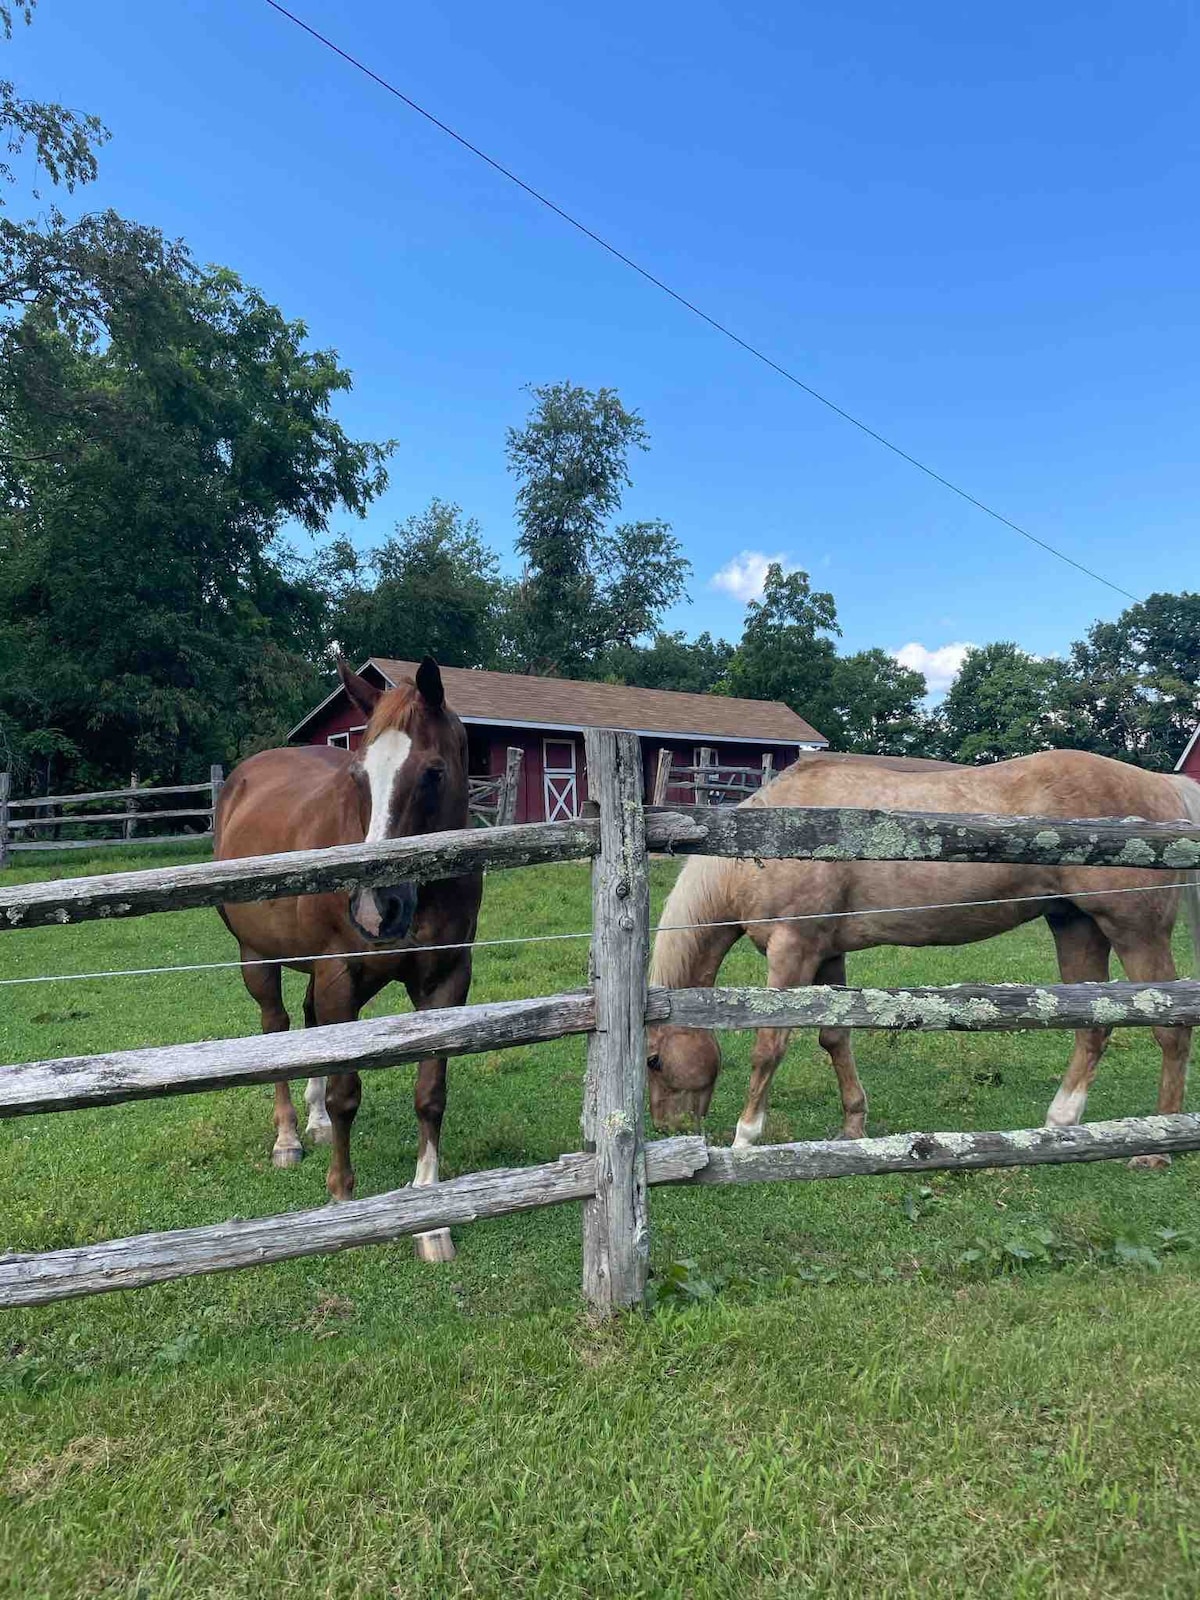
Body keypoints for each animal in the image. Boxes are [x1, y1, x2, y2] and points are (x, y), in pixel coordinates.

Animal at [214, 656, 483, 1254]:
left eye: (433, 772)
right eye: (360, 776)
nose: (375, 906)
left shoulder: (446, 982)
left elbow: (430, 1093)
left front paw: (432, 1217)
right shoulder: (340, 975)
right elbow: (346, 1094)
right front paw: (342, 1198)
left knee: (311, 1025)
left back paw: (310, 1121)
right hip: (257, 959)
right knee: (277, 1028)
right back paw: (289, 1137)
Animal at [649, 748, 1200, 1164]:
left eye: (654, 1060)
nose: (668, 1127)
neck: (771, 840)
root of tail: (1163, 784)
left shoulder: (793, 950)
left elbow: (769, 1046)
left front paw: (745, 1138)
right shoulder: (826, 954)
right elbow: (835, 1038)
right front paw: (853, 1126)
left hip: (1137, 933)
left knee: (1170, 1028)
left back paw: (1156, 1147)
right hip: (1076, 927)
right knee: (1094, 1027)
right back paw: (1061, 1124)